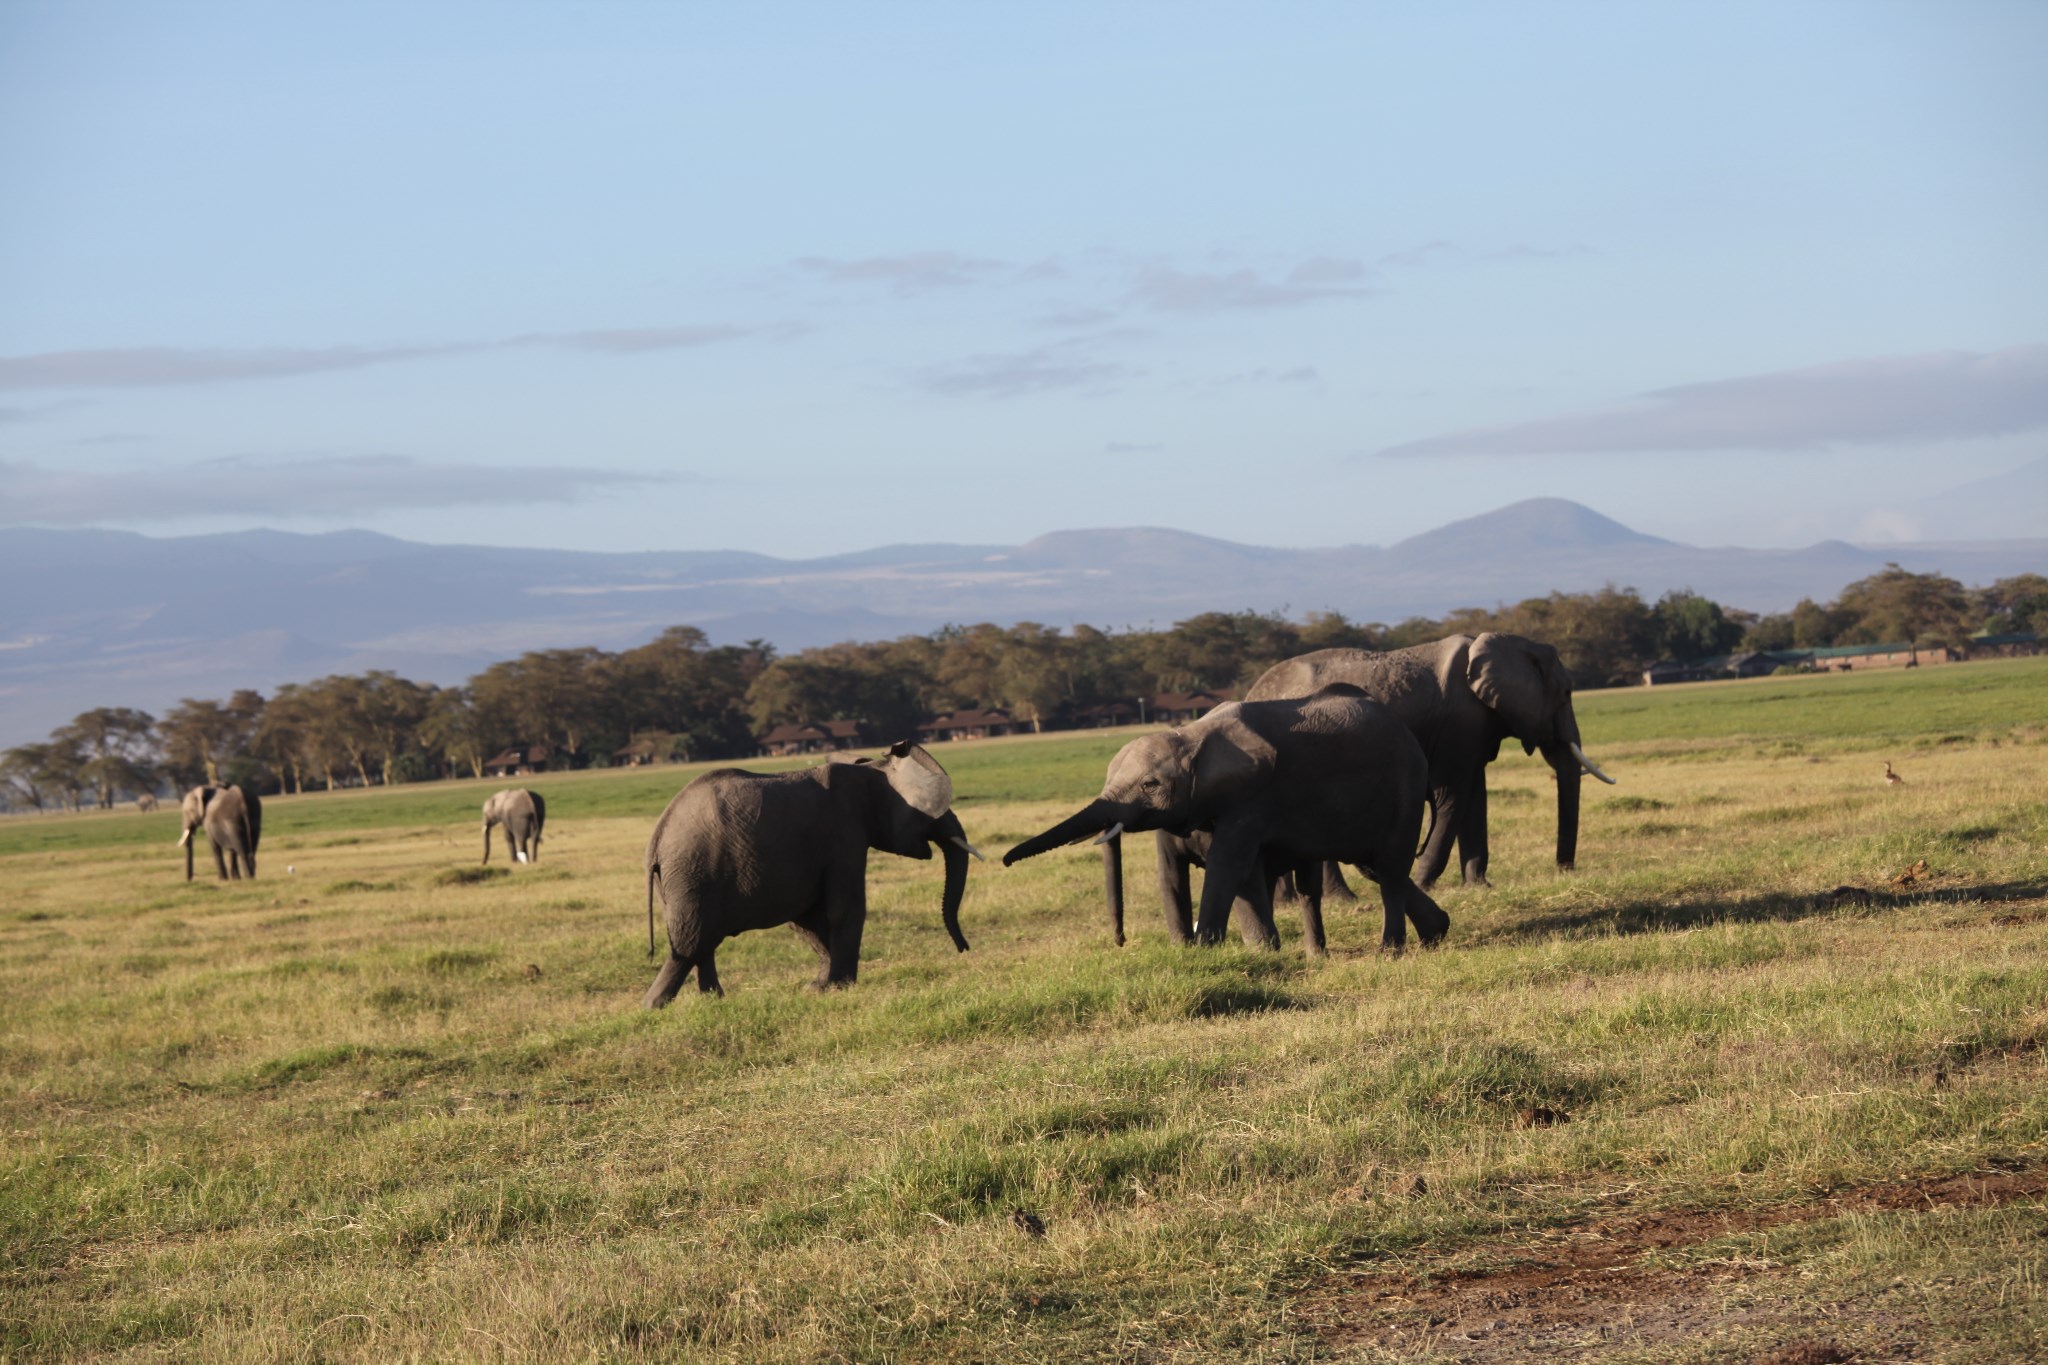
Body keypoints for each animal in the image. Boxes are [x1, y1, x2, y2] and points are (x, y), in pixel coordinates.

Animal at [643, 736, 987, 1002]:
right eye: (930, 814)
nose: (964, 948)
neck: (869, 771)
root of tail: (657, 839)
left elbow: (807, 918)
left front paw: (817, 988)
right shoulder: (844, 835)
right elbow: (844, 908)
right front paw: (842, 986)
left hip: (679, 880)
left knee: (701, 944)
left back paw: (715, 1002)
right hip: (693, 873)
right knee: (690, 943)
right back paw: (655, 1006)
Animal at [1003, 687, 1449, 957]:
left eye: (1150, 784)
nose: (1120, 940)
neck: (1190, 735)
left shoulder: (1250, 800)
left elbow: (1228, 868)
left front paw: (1221, 950)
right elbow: (1171, 875)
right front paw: (1185, 950)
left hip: (1405, 786)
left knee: (1389, 870)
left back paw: (1390, 951)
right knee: (1371, 866)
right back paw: (1434, 934)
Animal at [1245, 634, 1613, 892]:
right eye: (1566, 693)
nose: (1564, 870)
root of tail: (1251, 692)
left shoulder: (1474, 729)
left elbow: (1475, 798)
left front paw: (1479, 886)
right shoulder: (1461, 722)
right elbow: (1452, 796)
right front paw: (1424, 883)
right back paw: (1339, 899)